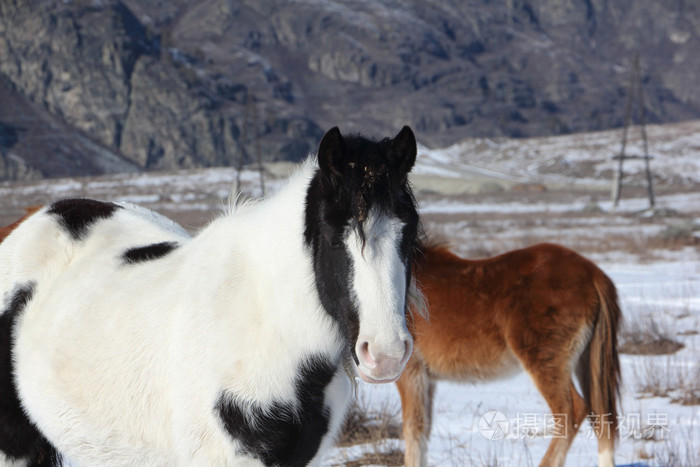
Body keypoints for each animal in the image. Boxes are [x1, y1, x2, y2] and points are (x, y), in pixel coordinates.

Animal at [396, 242, 621, 467]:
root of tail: (592, 272)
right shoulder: (427, 379)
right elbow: (424, 430)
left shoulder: (411, 373)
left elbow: (413, 431)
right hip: (587, 364)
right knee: (601, 418)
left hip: (544, 362)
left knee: (572, 411)